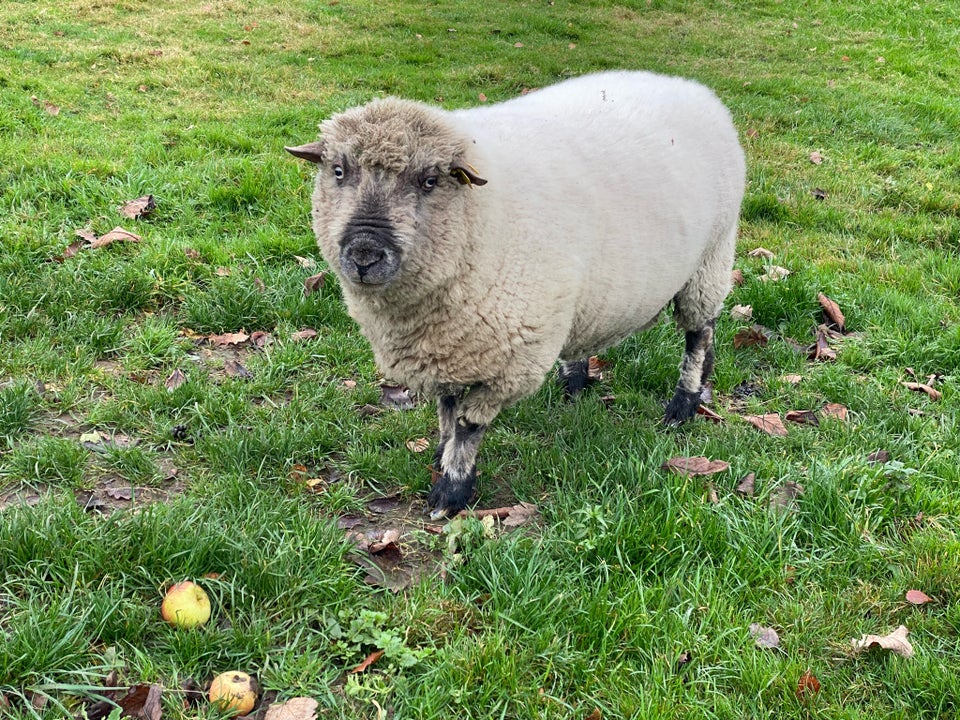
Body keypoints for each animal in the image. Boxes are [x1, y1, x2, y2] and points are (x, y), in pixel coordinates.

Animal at [284, 71, 752, 516]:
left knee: (700, 334)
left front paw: (452, 489)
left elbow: (468, 425)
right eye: (338, 171)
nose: (364, 254)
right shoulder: (449, 348)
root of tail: (690, 87)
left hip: (710, 259)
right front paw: (441, 454)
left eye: (430, 180)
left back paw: (683, 405)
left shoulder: (508, 361)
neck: (480, 219)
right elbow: (447, 411)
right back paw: (575, 383)